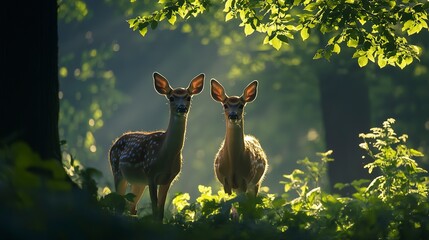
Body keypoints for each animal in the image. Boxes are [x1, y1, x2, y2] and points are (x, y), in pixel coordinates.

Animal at [109, 72, 205, 220]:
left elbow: (160, 213)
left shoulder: (168, 179)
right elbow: (154, 210)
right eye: (171, 98)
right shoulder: (150, 174)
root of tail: (114, 144)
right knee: (118, 204)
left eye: (188, 97)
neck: (164, 153)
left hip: (138, 182)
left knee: (131, 207)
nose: (181, 108)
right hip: (117, 172)